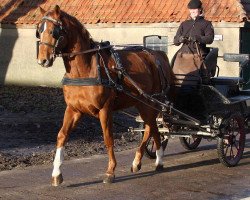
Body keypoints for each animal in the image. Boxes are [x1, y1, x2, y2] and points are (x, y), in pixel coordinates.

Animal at [36, 4, 175, 186]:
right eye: (39, 30)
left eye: (54, 31)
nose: (42, 60)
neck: (86, 70)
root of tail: (157, 55)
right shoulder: (73, 109)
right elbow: (62, 136)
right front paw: (56, 173)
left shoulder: (105, 110)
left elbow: (108, 139)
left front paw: (110, 171)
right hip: (142, 103)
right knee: (151, 128)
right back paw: (145, 161)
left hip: (149, 103)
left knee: (152, 128)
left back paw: (156, 160)